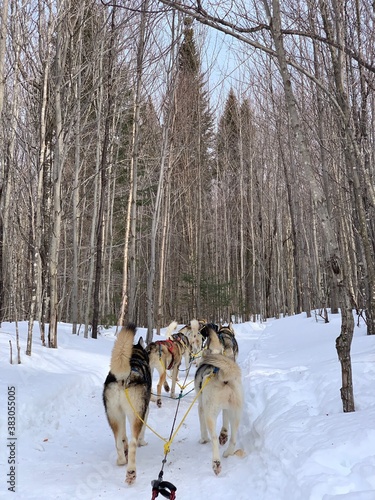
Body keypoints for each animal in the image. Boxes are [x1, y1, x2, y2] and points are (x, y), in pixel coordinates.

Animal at [103, 324, 151, 484]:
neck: (135, 356)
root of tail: (124, 377)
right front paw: (143, 442)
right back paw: (131, 472)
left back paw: (121, 461)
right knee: (132, 443)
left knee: (119, 441)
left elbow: (123, 437)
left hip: (113, 415)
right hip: (135, 415)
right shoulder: (145, 411)